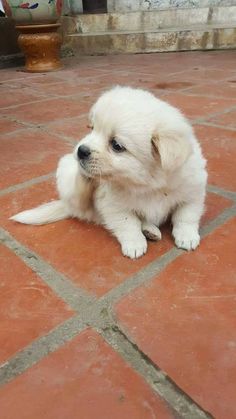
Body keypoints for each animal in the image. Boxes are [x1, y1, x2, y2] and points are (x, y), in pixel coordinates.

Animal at [11, 87, 206, 260]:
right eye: (92, 128)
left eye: (116, 145)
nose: (81, 151)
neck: (148, 183)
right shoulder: (114, 205)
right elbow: (128, 223)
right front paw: (134, 244)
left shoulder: (193, 193)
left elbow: (185, 216)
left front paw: (187, 237)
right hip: (66, 171)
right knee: (79, 198)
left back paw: (149, 230)